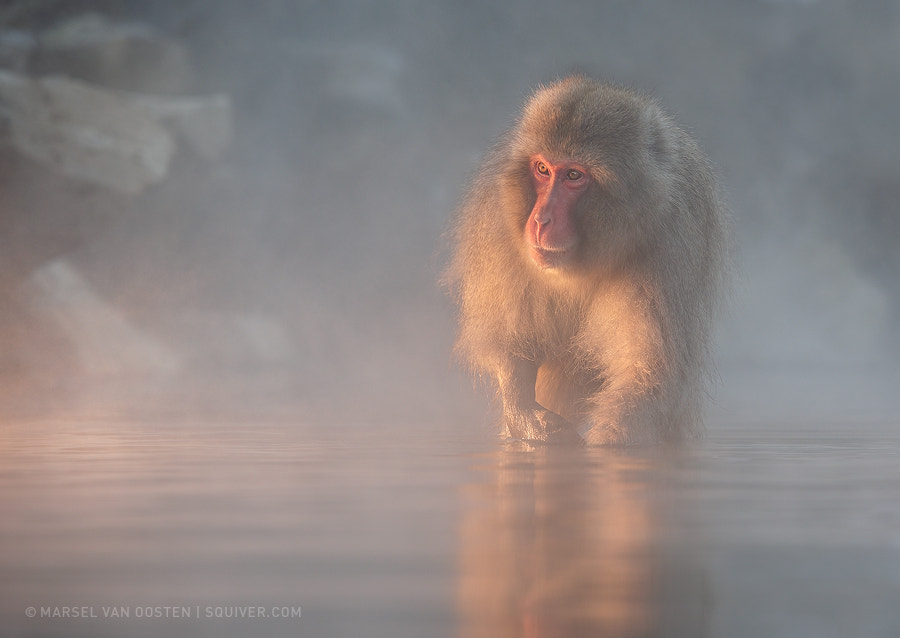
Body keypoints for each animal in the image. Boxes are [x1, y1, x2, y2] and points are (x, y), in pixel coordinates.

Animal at [445, 76, 727, 446]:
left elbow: (648, 376)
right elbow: (509, 341)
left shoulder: (669, 244)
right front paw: (524, 413)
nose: (540, 220)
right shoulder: (499, 227)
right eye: (542, 169)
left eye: (574, 176)